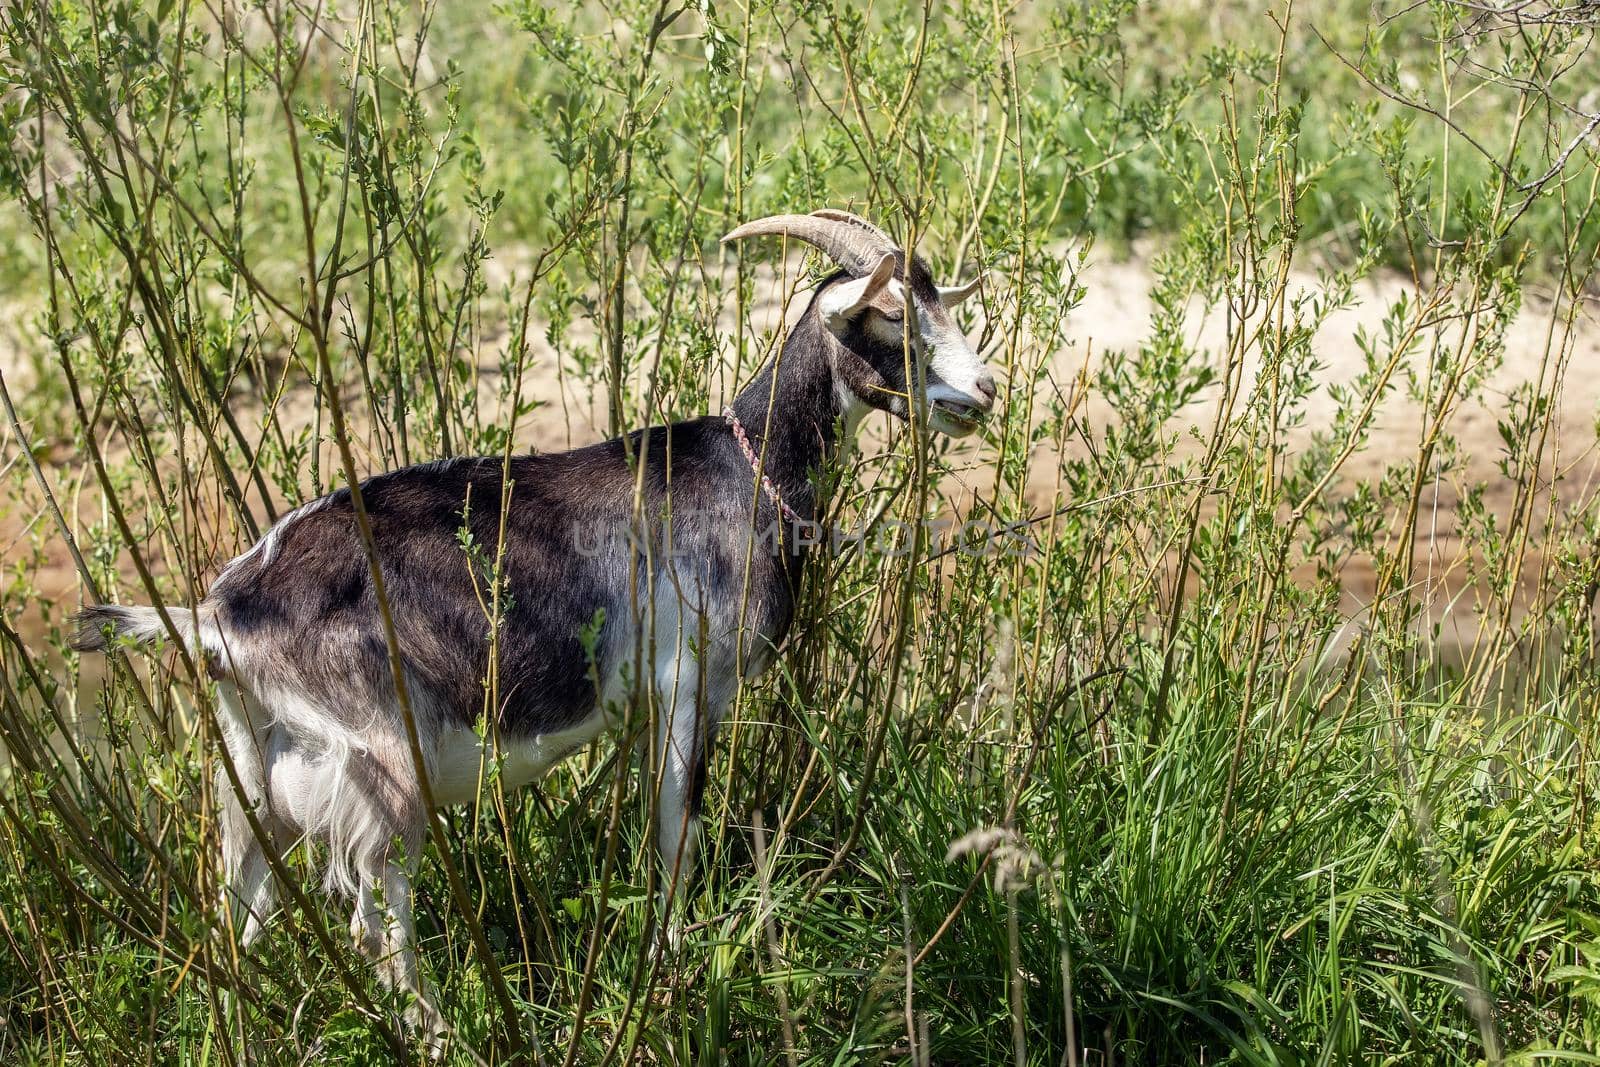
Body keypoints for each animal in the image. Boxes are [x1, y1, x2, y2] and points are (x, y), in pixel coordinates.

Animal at [72, 211, 998, 1049]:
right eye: (890, 316)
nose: (983, 391)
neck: (746, 467)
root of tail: (221, 613)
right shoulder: (688, 681)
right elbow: (678, 832)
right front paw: (669, 969)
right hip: (382, 765)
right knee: (377, 926)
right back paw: (443, 1037)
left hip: (251, 775)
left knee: (240, 912)